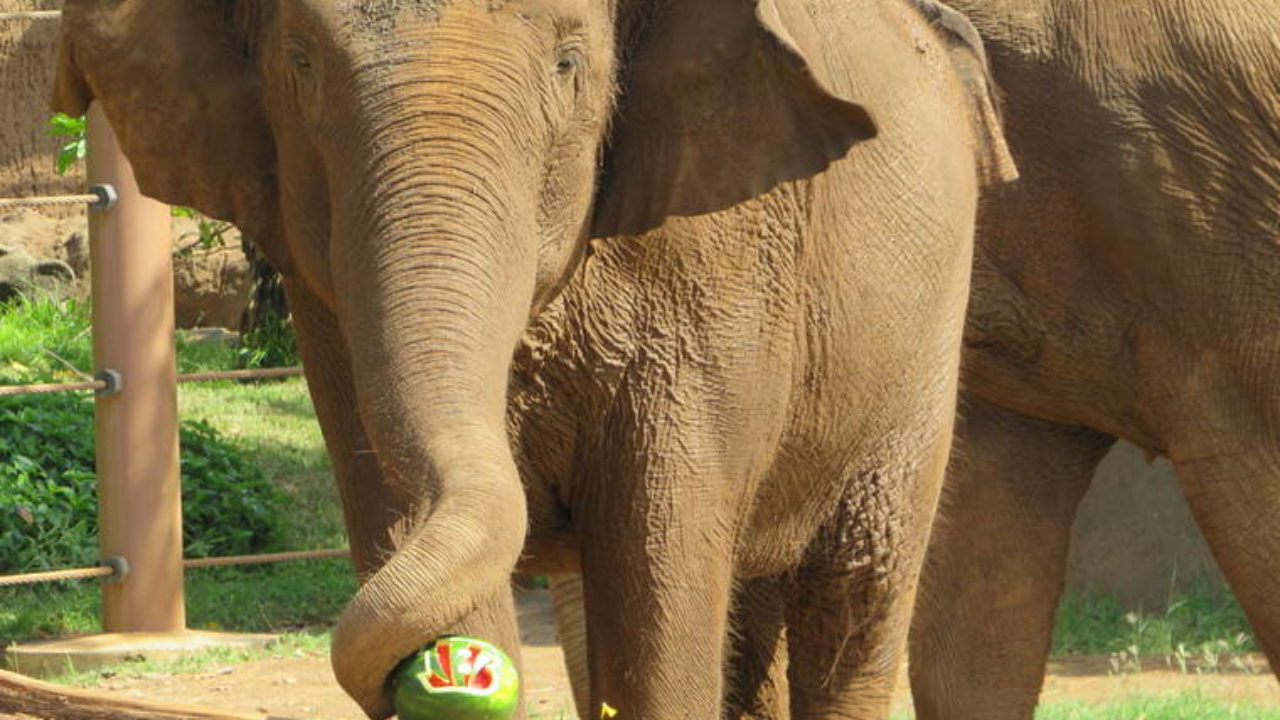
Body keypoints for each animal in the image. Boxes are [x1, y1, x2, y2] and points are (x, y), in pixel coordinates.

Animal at [49, 1, 1013, 717]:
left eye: (567, 63)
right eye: (300, 60)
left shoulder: (718, 272)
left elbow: (660, 572)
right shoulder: (325, 293)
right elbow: (408, 510)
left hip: (922, 341)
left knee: (852, 602)